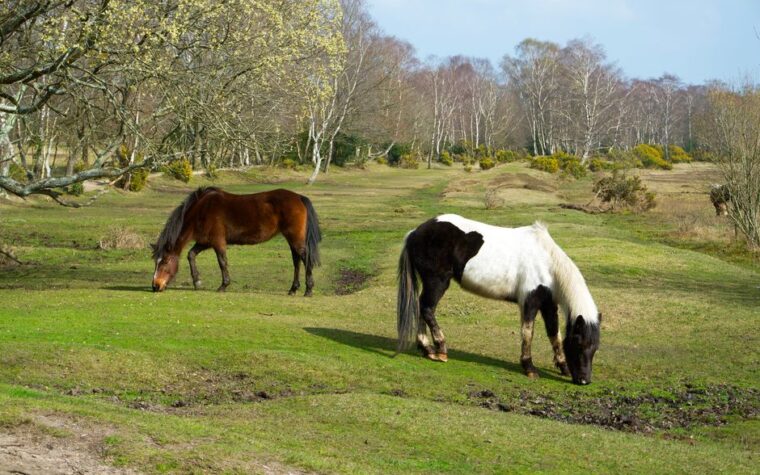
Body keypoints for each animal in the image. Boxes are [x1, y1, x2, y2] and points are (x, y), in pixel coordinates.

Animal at [151, 187, 321, 295]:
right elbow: (191, 255)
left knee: (304, 258)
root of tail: (299, 197)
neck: (202, 209)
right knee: (296, 261)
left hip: (295, 238)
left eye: (164, 261)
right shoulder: (205, 242)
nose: (155, 286)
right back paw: (293, 289)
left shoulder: (218, 242)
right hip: (292, 239)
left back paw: (308, 290)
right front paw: (197, 282)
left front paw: (223, 285)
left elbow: (222, 262)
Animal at [396, 214, 601, 385]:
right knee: (427, 308)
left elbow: (554, 335)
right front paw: (529, 368)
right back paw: (440, 349)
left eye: (595, 347)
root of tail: (415, 232)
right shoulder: (530, 301)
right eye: (579, 343)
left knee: (422, 308)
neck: (547, 262)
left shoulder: (549, 304)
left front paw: (563, 366)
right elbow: (528, 333)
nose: (584, 381)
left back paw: (428, 349)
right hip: (437, 282)